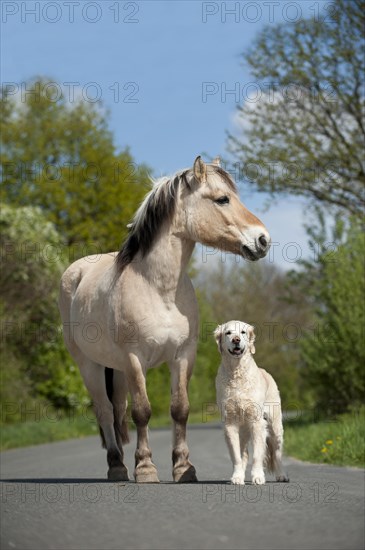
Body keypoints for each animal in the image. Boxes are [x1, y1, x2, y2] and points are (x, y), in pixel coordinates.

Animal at [59, 155, 270, 484]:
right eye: (222, 199)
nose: (263, 240)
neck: (159, 288)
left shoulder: (183, 355)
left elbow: (179, 409)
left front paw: (184, 468)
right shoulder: (135, 358)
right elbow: (143, 412)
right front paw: (146, 469)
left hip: (116, 370)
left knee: (117, 409)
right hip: (89, 365)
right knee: (105, 411)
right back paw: (117, 467)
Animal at [213, 324, 288, 488]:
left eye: (243, 332)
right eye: (228, 333)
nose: (236, 340)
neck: (237, 372)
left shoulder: (257, 423)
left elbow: (258, 455)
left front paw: (258, 477)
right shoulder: (230, 424)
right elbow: (236, 456)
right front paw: (237, 477)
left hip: (275, 427)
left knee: (277, 454)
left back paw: (281, 475)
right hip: (243, 430)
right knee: (244, 453)